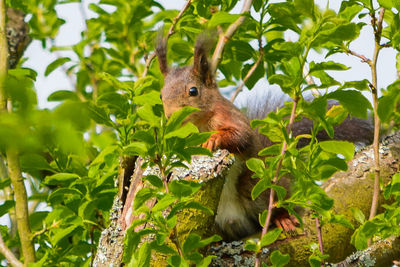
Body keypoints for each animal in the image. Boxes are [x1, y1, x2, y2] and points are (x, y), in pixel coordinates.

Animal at [155, 35, 374, 241]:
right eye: (161, 95)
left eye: (193, 91)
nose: (170, 117)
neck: (197, 125)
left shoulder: (228, 116)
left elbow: (241, 135)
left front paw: (214, 139)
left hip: (258, 184)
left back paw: (282, 218)